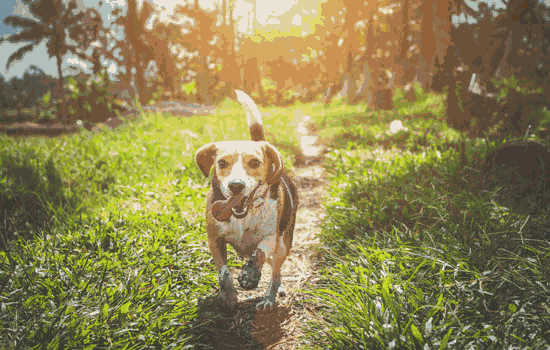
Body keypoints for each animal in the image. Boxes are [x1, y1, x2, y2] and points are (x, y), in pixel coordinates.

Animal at [194, 89, 298, 310]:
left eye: (255, 162)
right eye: (222, 163)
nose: (236, 186)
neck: (244, 215)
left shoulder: (272, 237)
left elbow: (259, 252)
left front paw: (250, 275)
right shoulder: (214, 239)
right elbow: (223, 271)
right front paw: (228, 295)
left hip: (283, 245)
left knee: (275, 273)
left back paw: (269, 297)